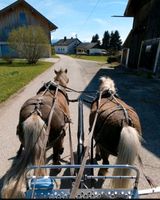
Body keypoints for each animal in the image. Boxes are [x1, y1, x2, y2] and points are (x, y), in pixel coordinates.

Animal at [0, 69, 70, 198]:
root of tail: (35, 112)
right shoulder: (62, 131)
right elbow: (59, 145)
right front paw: (60, 152)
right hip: (57, 134)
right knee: (54, 151)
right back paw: (56, 164)